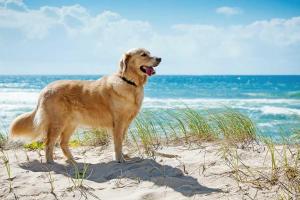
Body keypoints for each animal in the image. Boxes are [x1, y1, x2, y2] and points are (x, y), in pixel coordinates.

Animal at [9, 48, 162, 164]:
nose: (160, 58)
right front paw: (120, 159)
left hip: (71, 124)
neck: (129, 82)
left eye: (150, 52)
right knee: (49, 143)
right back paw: (51, 162)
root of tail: (45, 89)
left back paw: (73, 162)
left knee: (62, 143)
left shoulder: (126, 123)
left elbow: (121, 141)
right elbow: (118, 143)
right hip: (58, 123)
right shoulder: (118, 122)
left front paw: (123, 156)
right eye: (143, 54)